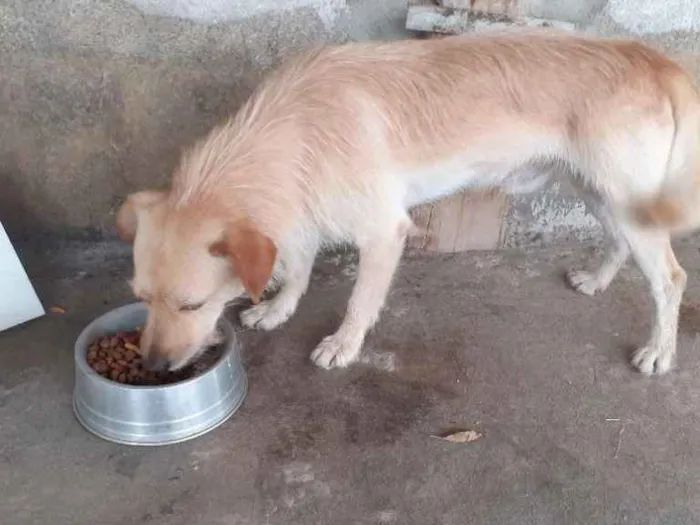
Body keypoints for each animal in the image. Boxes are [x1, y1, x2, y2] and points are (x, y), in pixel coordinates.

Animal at [115, 29, 700, 372]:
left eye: (191, 305)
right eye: (141, 298)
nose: (153, 368)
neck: (293, 127)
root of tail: (652, 58)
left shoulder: (382, 232)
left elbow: (359, 300)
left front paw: (344, 345)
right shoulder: (299, 211)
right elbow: (297, 269)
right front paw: (279, 309)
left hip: (626, 200)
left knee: (671, 278)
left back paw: (659, 351)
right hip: (599, 194)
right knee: (618, 242)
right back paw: (598, 279)